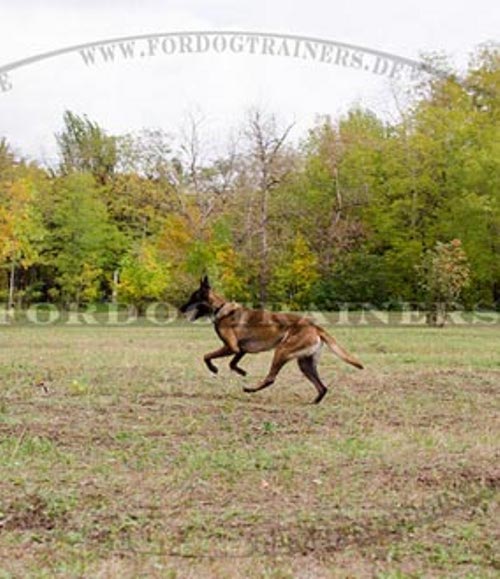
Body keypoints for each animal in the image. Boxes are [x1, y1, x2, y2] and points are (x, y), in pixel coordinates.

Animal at [180, 276, 364, 404]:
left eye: (193, 297)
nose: (181, 308)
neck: (220, 308)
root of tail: (315, 326)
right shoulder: (240, 350)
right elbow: (232, 363)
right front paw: (241, 371)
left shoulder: (231, 347)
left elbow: (207, 356)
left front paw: (214, 368)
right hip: (305, 363)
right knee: (322, 388)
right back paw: (313, 403)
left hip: (281, 351)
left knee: (271, 378)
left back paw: (250, 389)